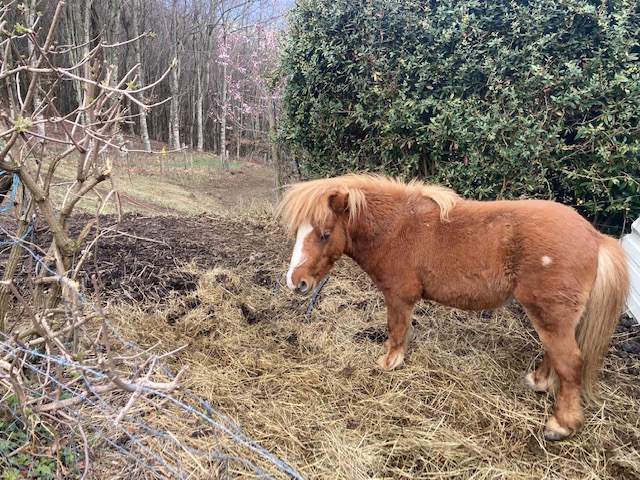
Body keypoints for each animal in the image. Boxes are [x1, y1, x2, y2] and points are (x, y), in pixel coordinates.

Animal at [278, 174, 632, 440]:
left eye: (325, 234)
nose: (296, 282)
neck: (397, 228)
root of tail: (595, 237)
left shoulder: (398, 297)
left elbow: (396, 330)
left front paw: (390, 363)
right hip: (551, 317)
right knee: (554, 354)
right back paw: (539, 382)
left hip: (550, 315)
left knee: (570, 362)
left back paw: (561, 424)